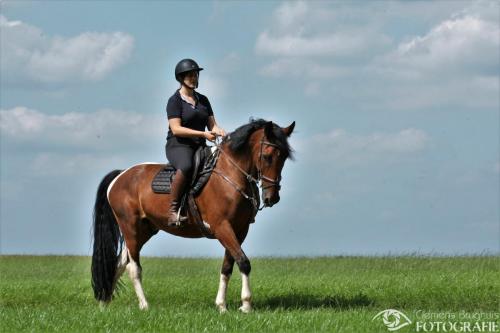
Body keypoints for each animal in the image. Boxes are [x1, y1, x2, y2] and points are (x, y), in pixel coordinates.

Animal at [92, 118, 294, 312]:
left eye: (284, 157)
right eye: (267, 156)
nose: (272, 198)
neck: (231, 174)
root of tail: (120, 176)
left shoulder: (240, 230)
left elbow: (228, 266)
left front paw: (222, 305)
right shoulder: (222, 227)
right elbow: (243, 262)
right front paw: (246, 305)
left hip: (145, 230)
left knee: (119, 263)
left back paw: (104, 303)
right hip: (130, 229)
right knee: (134, 267)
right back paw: (144, 305)